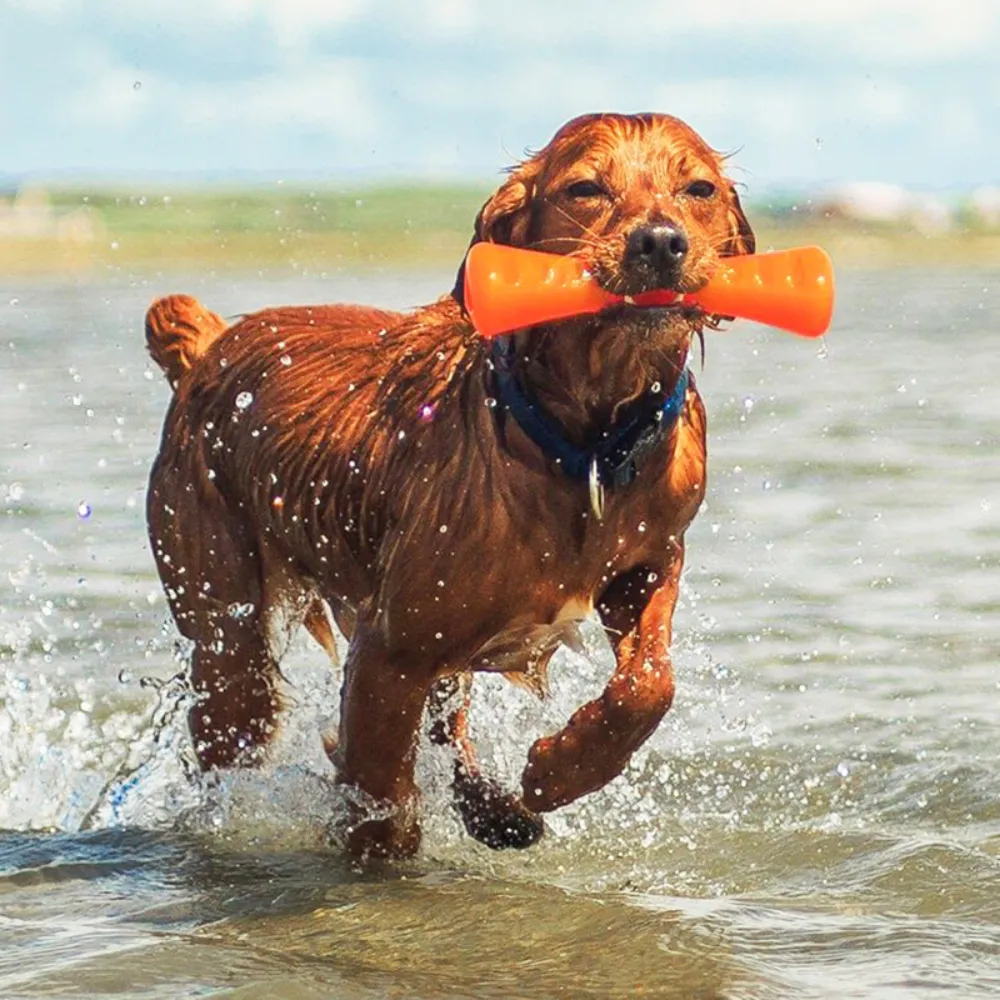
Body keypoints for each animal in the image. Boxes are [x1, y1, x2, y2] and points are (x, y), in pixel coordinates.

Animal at [145, 113, 752, 856]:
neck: (582, 445)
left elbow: (649, 684)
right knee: (235, 722)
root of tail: (210, 348)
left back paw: (497, 810)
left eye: (699, 189)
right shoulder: (390, 648)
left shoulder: (652, 561)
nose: (661, 242)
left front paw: (559, 769)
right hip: (226, 632)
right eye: (585, 189)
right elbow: (380, 797)